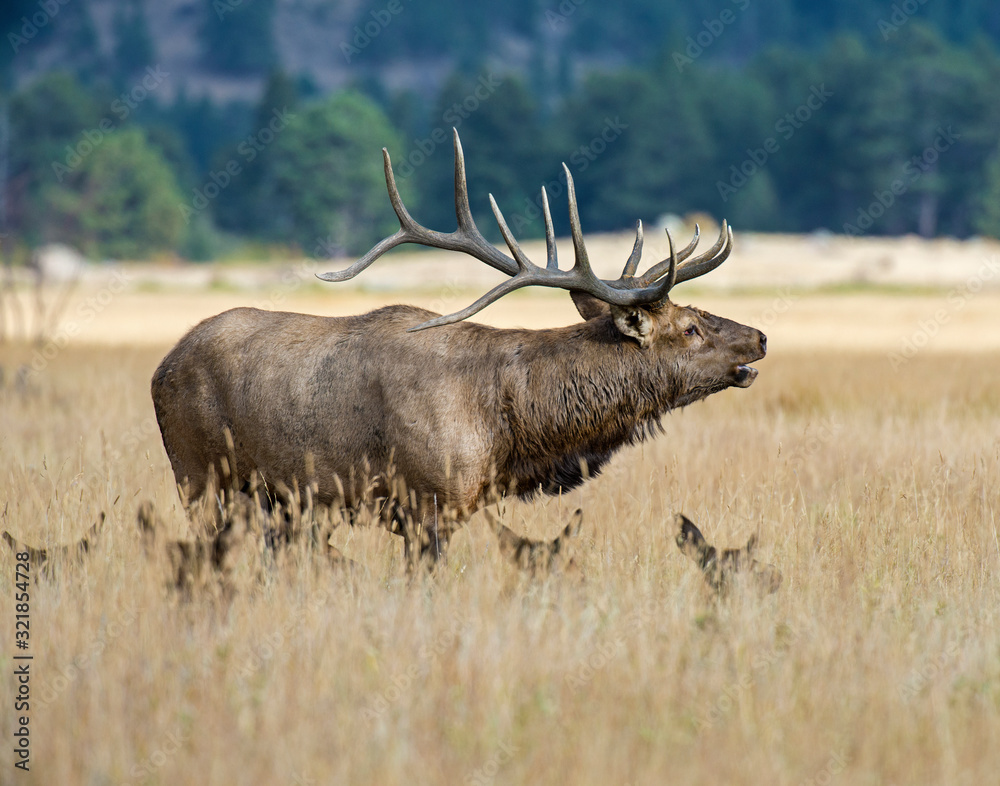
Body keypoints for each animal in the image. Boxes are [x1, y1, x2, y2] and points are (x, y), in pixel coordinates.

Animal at [150, 130, 766, 571]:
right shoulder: (427, 503)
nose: (759, 338)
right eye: (690, 327)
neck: (508, 433)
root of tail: (160, 369)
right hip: (198, 476)